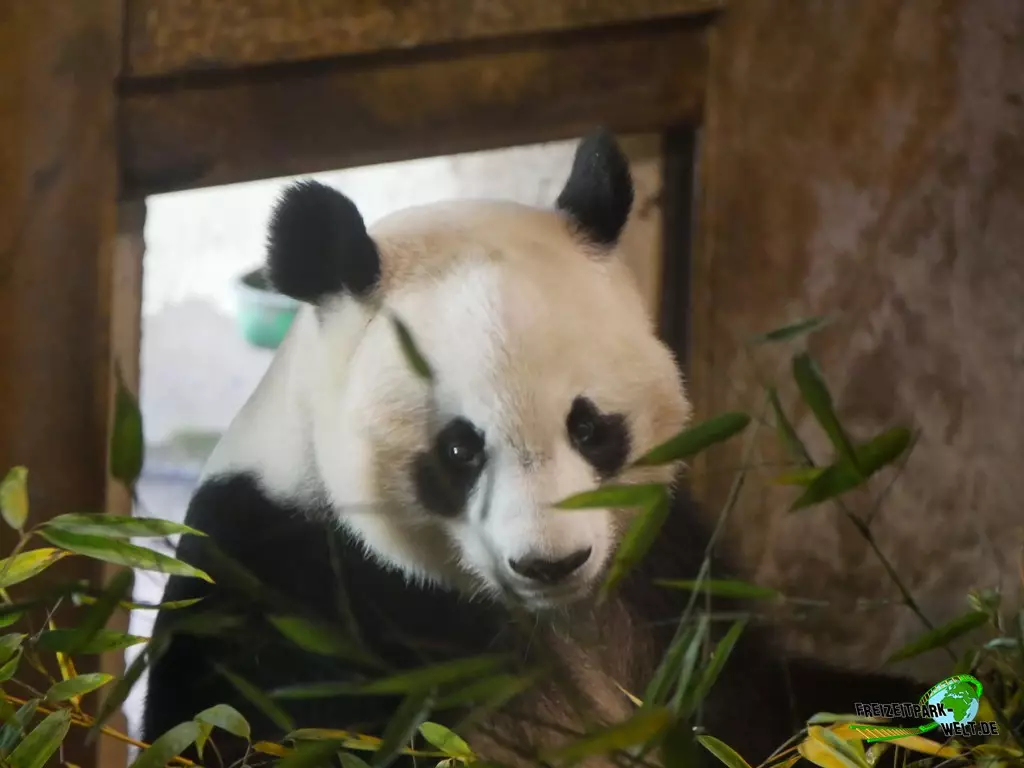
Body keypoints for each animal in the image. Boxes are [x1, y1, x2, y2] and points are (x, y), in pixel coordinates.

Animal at [141, 128, 926, 767]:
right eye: (460, 451)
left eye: (590, 427)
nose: (552, 564)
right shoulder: (280, 585)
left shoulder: (665, 575)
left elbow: (775, 710)